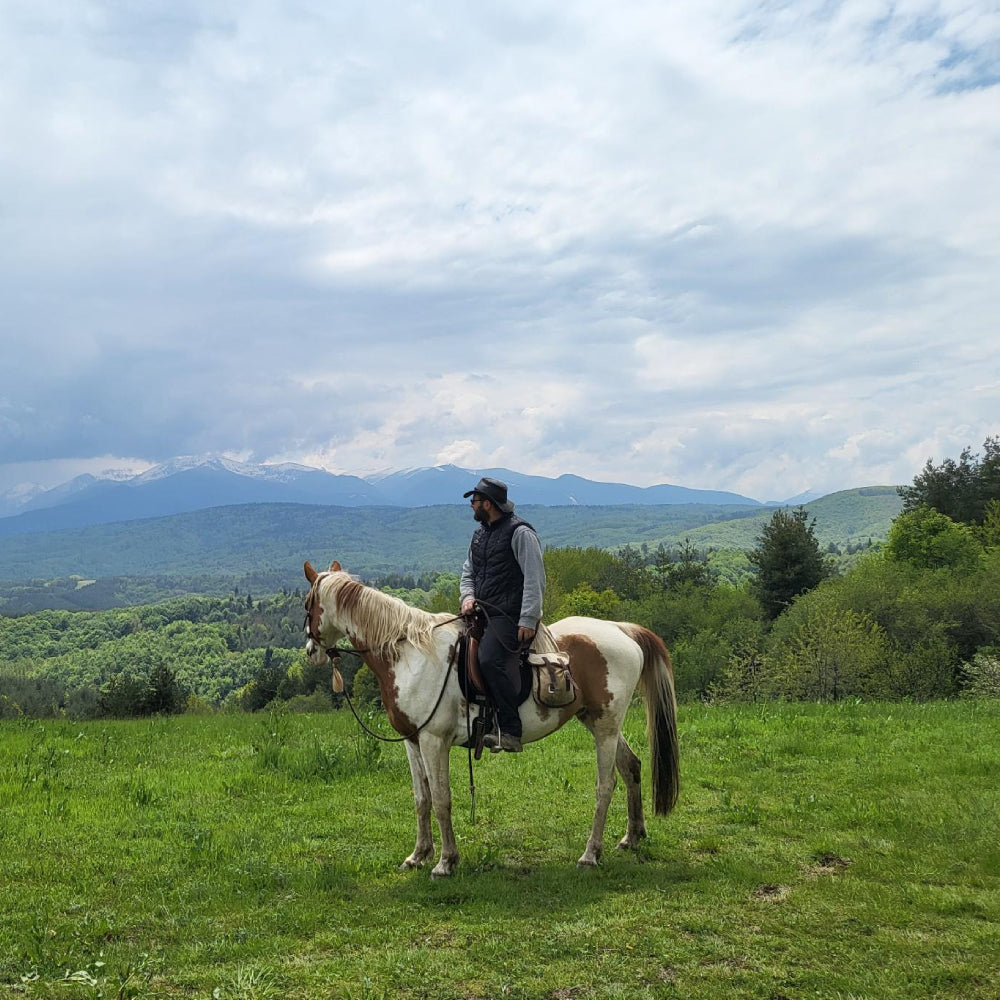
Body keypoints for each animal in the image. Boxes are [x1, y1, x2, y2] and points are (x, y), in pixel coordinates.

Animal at [304, 560, 680, 880]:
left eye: (308, 603)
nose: (310, 651)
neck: (411, 654)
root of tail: (622, 629)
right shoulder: (413, 741)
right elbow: (421, 799)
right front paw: (418, 855)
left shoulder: (434, 741)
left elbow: (441, 799)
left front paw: (445, 862)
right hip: (598, 722)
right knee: (630, 767)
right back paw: (632, 837)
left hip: (605, 727)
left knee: (606, 785)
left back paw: (590, 854)